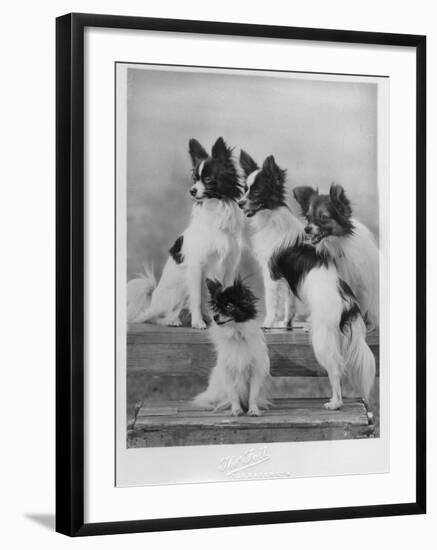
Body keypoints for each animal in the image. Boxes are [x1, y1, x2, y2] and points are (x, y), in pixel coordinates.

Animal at [126, 138, 244, 330]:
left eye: (208, 179)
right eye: (194, 179)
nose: (192, 191)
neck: (215, 210)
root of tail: (152, 301)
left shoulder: (229, 266)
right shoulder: (196, 267)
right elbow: (196, 298)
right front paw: (198, 323)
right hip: (179, 286)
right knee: (155, 316)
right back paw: (174, 321)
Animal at [192, 278, 270, 416]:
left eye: (229, 306)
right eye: (216, 307)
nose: (215, 316)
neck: (236, 334)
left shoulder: (255, 372)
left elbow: (253, 395)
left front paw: (253, 410)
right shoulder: (228, 373)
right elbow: (233, 395)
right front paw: (235, 410)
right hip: (215, 391)